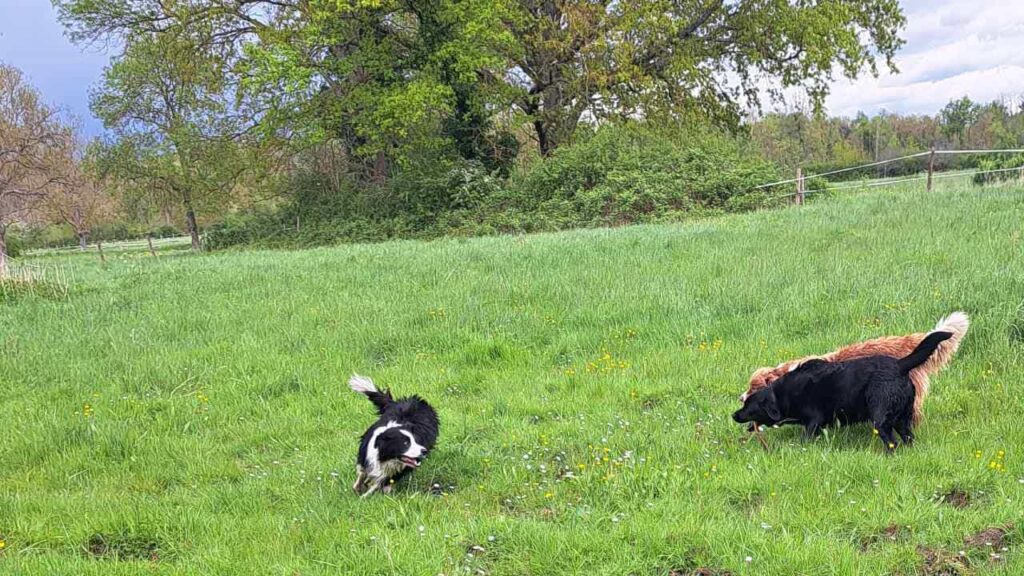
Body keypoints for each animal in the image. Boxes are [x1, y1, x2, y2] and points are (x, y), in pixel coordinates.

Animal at [733, 330, 954, 450]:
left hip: (881, 417)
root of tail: (900, 364)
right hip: (901, 418)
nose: (733, 413)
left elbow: (805, 438)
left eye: (750, 399)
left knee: (892, 443)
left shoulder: (813, 421)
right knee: (908, 438)